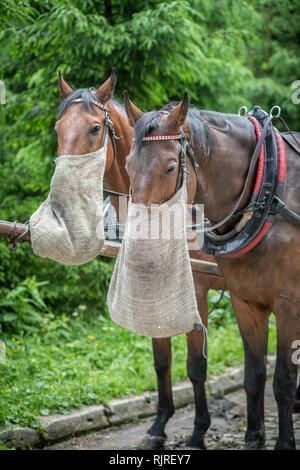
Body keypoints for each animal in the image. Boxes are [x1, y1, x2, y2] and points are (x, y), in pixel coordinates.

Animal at [55, 72, 226, 448]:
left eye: (94, 128)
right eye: (58, 127)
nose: (64, 188)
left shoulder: (197, 292)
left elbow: (196, 365)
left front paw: (198, 431)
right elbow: (161, 360)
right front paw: (159, 424)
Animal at [123, 90, 300, 450]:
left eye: (171, 167)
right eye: (128, 166)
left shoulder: (289, 305)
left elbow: (283, 381)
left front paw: (283, 443)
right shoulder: (245, 302)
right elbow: (254, 375)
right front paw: (253, 437)